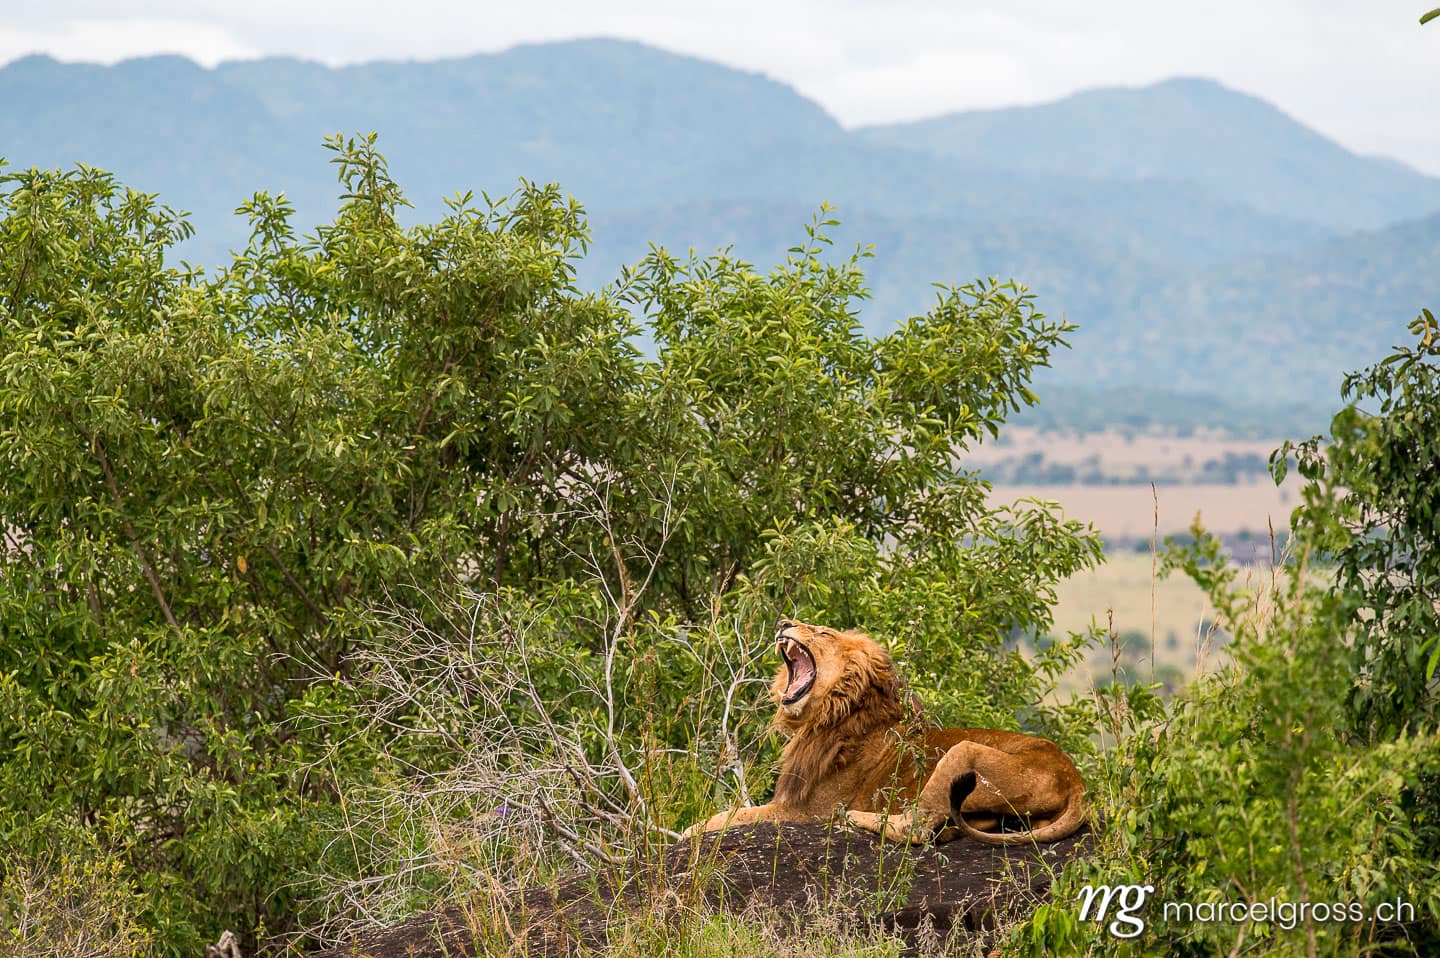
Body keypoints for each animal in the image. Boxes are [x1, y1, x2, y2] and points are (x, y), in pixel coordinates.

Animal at [684, 619, 1088, 845]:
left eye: (823, 632)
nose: (783, 622)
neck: (829, 717)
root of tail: (1075, 779)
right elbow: (733, 813)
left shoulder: (805, 811)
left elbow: (733, 817)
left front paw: (690, 831)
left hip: (962, 751)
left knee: (916, 828)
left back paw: (853, 817)